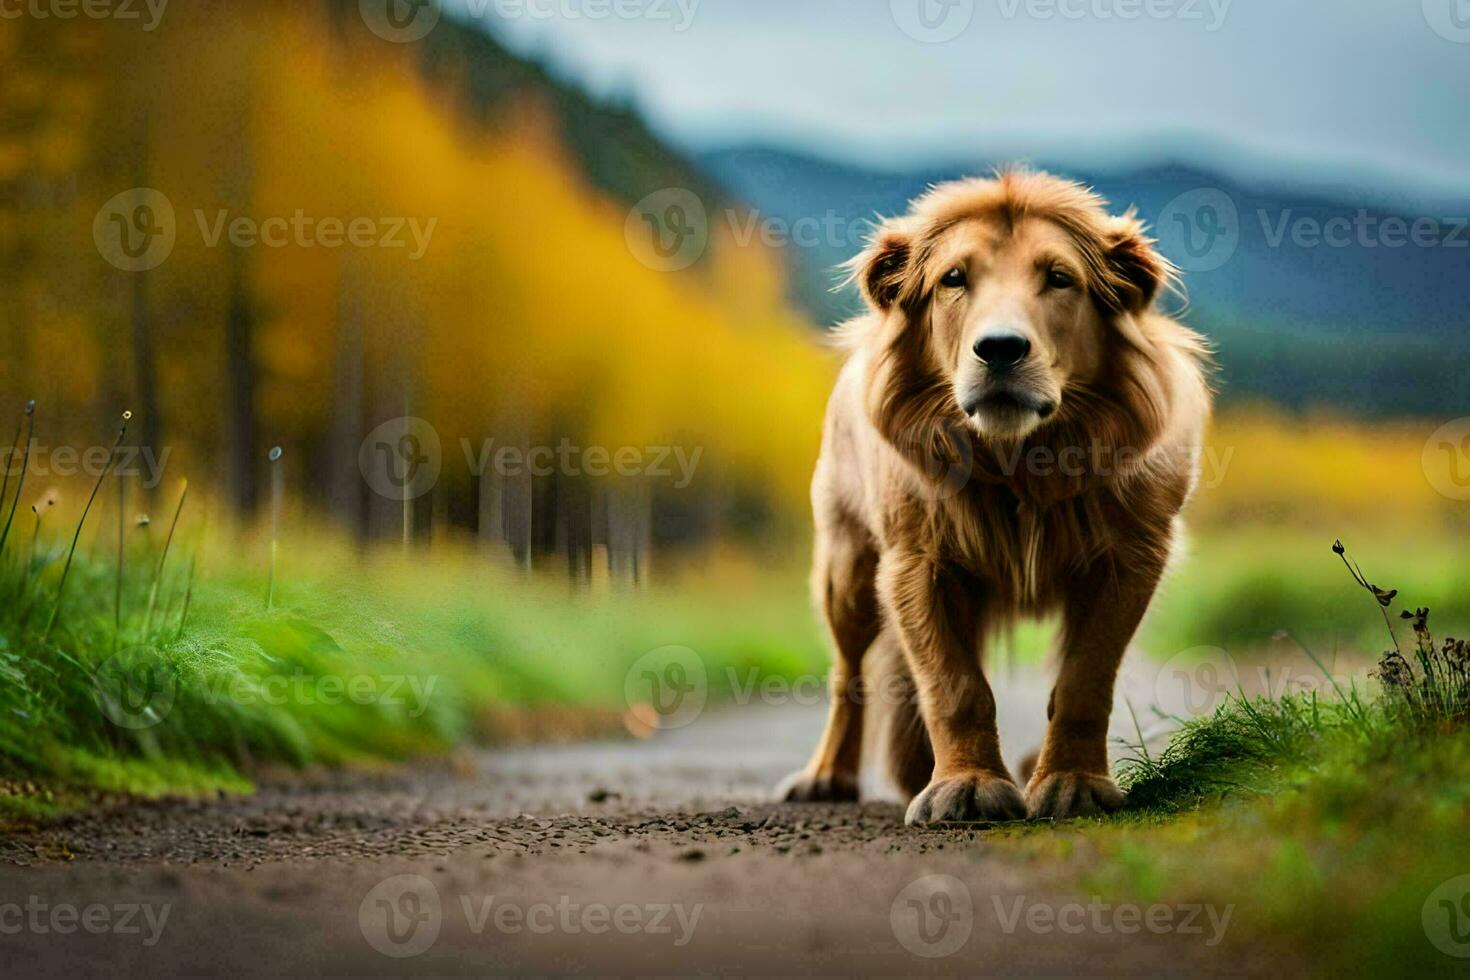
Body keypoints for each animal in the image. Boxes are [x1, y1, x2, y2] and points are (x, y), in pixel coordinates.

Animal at [776, 170, 1211, 828]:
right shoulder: (917, 563)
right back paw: (828, 776)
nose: (1000, 349)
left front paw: (1072, 783)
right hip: (846, 569)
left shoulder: (1131, 557)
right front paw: (968, 786)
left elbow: (1084, 681)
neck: (1022, 465)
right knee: (848, 674)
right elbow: (954, 687)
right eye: (954, 279)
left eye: (1059, 278)